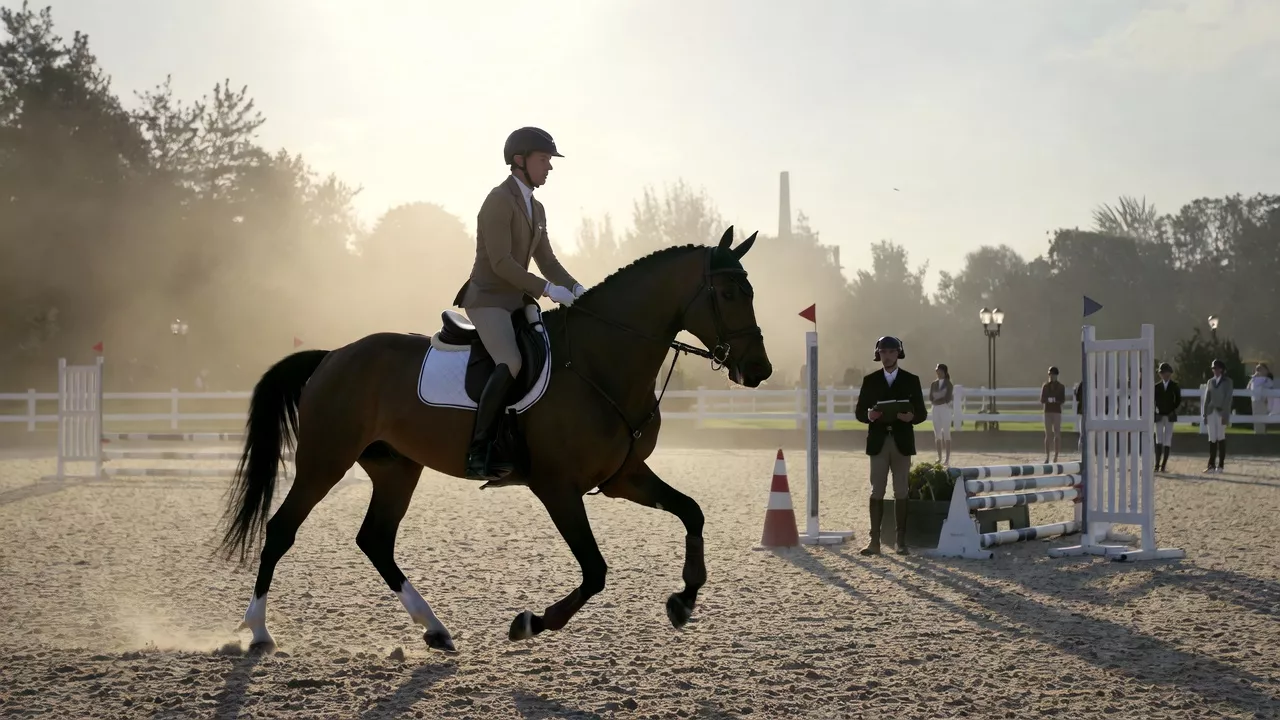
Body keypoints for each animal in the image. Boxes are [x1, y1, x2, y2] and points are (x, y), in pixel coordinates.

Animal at [216, 226, 773, 653]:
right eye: (728, 294)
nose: (759, 371)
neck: (600, 361)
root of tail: (333, 355)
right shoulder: (557, 487)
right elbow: (595, 571)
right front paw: (531, 623)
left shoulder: (623, 478)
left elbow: (692, 512)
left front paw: (684, 600)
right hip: (324, 460)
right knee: (281, 530)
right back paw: (258, 633)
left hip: (396, 467)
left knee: (375, 539)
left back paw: (435, 630)